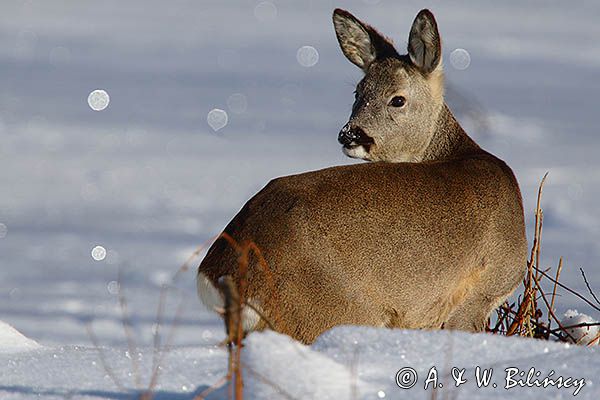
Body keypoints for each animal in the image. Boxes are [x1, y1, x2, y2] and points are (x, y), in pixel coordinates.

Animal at [196, 7, 524, 344]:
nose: (350, 134)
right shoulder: (482, 291)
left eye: (397, 99)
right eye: (358, 91)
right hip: (327, 310)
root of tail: (218, 271)